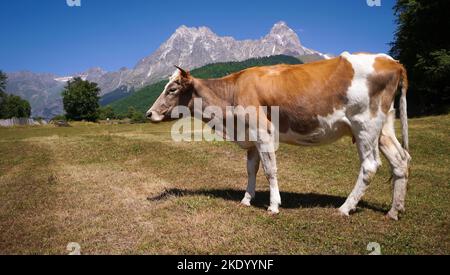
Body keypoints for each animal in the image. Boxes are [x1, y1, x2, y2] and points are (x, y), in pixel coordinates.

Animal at [145, 51, 412, 220]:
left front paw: (273, 205)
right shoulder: (251, 138)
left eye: (172, 89)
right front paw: (247, 199)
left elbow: (269, 169)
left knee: (370, 165)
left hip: (365, 124)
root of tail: (392, 61)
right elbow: (251, 169)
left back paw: (345, 208)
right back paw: (394, 211)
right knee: (400, 161)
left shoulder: (263, 131)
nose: (149, 113)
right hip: (384, 127)